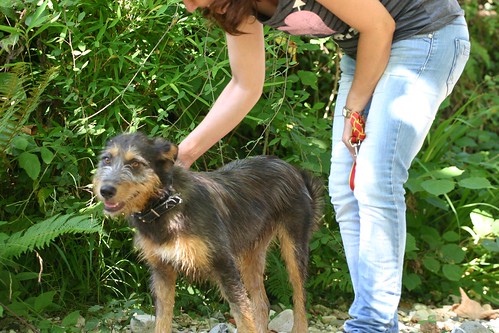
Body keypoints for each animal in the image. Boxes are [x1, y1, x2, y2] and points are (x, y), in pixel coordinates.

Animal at [93, 132, 324, 332]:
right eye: (106, 159)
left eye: (135, 163)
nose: (105, 190)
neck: (166, 206)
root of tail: (292, 169)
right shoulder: (162, 271)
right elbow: (162, 321)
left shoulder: (224, 265)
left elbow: (243, 317)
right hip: (251, 256)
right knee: (261, 304)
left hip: (294, 249)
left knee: (300, 301)